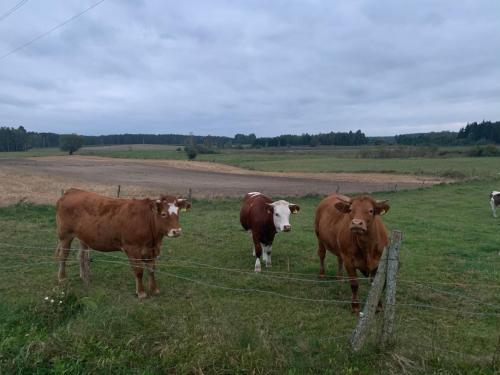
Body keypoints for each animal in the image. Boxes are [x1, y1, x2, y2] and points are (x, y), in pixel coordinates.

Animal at [55, 189, 191, 302]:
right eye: (163, 214)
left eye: (178, 212)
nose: (177, 231)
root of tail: (72, 191)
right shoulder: (133, 249)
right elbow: (139, 271)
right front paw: (141, 292)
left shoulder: (151, 250)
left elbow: (151, 269)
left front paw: (154, 289)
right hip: (65, 235)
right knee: (63, 256)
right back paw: (62, 278)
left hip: (83, 237)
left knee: (81, 256)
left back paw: (84, 277)